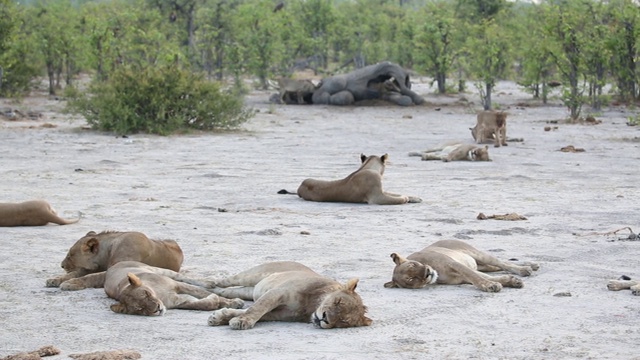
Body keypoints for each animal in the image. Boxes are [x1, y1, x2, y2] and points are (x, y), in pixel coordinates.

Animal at [45, 232, 184, 288]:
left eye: (70, 255)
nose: (62, 265)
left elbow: (91, 277)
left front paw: (71, 283)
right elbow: (76, 273)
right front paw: (54, 279)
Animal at [58, 262, 245, 316]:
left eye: (146, 294)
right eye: (140, 309)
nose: (157, 308)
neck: (160, 295)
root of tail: (112, 267)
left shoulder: (177, 286)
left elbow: (202, 293)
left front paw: (233, 302)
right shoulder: (178, 301)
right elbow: (201, 303)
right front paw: (215, 301)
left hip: (158, 269)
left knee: (183, 276)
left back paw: (210, 282)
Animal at [202, 260, 372, 330]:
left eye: (343, 320)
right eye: (337, 301)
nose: (324, 318)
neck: (310, 307)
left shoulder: (281, 314)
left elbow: (257, 312)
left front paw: (220, 317)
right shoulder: (278, 292)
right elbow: (257, 309)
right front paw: (241, 322)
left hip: (248, 290)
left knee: (222, 290)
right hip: (252, 275)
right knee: (218, 281)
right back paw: (201, 282)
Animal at [284, 153, 422, 205]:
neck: (367, 167)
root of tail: (299, 187)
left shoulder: (381, 191)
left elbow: (395, 193)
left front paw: (416, 198)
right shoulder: (376, 197)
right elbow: (398, 198)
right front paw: (406, 198)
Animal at [384, 239, 540, 292]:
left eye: (412, 265)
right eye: (411, 279)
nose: (427, 273)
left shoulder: (454, 263)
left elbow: (476, 278)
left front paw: (491, 286)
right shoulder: (462, 276)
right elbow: (482, 277)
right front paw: (511, 282)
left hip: (478, 254)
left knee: (502, 262)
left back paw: (527, 267)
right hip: (482, 264)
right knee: (499, 267)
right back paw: (530, 266)